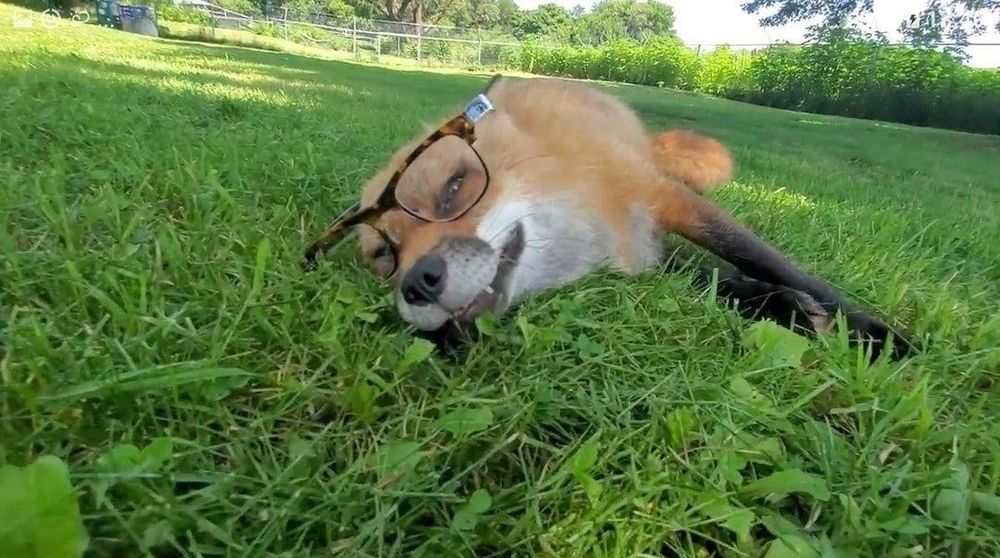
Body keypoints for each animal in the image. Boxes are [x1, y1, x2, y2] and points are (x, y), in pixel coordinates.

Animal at [303, 75, 913, 361]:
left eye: (455, 188)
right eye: (385, 256)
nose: (417, 284)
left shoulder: (665, 199)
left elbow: (774, 263)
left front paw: (881, 337)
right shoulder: (637, 249)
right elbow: (713, 279)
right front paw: (780, 306)